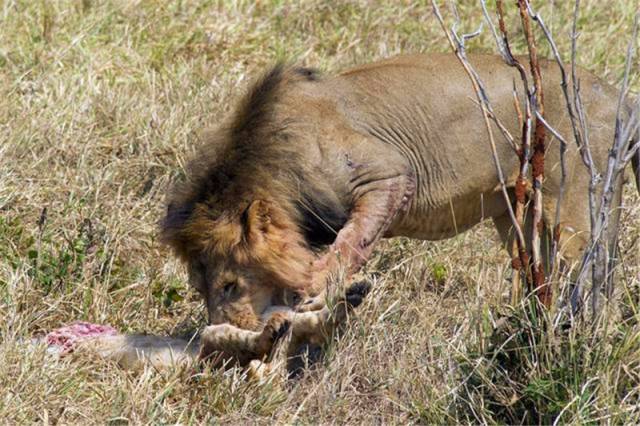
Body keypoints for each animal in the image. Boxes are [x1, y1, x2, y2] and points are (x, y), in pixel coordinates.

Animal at [160, 55, 636, 342]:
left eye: (230, 284)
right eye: (200, 289)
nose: (220, 332)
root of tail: (620, 97)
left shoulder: (388, 174)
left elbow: (351, 242)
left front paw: (316, 292)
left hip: (576, 202)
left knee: (590, 273)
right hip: (517, 211)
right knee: (551, 272)